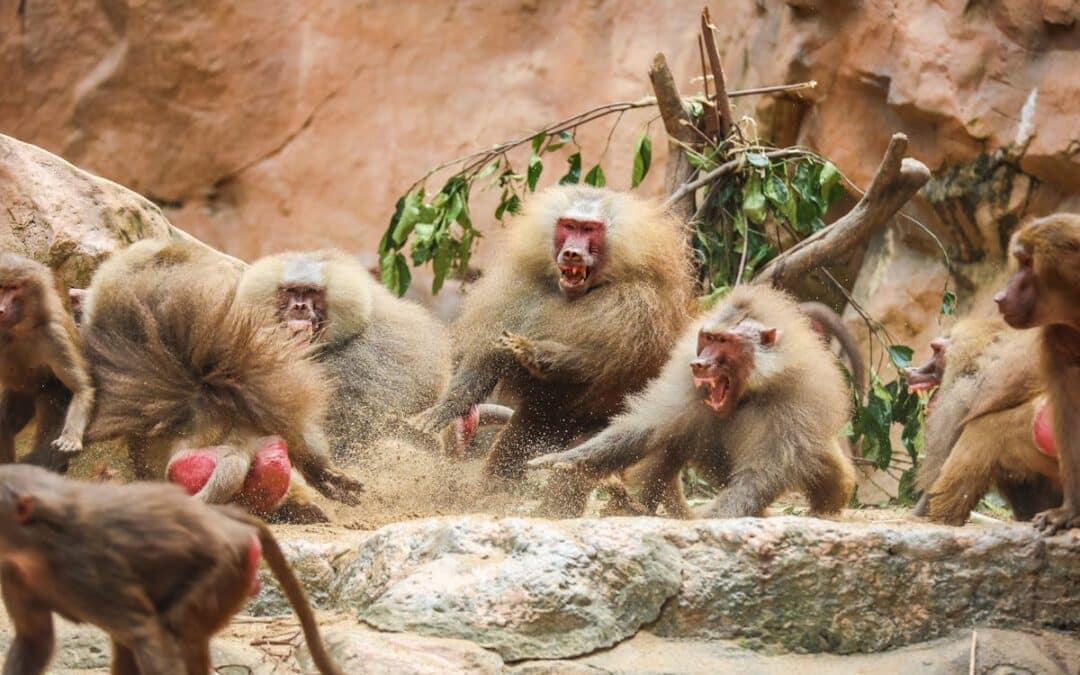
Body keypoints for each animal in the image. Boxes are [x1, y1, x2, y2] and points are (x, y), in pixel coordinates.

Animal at [0, 254, 94, 473]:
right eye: (0, 287)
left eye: (13, 288)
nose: (0, 309)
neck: (17, 331)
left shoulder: (54, 336)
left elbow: (81, 389)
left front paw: (70, 438)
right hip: (20, 395)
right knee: (4, 423)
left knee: (47, 401)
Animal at [0, 464, 343, 675]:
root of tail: (223, 519)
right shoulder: (13, 571)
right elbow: (35, 640)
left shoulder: (88, 569)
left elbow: (148, 635)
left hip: (227, 567)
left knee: (177, 629)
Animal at [409, 185, 696, 514]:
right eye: (569, 226)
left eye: (589, 229)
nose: (572, 252)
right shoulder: (521, 292)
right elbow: (488, 357)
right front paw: (444, 409)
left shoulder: (637, 311)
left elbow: (599, 362)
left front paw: (534, 353)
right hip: (541, 417)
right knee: (514, 446)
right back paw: (489, 497)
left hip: (608, 424)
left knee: (580, 463)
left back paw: (553, 510)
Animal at [529, 284, 856, 520]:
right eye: (708, 338)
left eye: (724, 342)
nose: (699, 364)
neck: (749, 392)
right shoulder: (686, 384)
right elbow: (647, 428)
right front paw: (565, 460)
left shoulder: (795, 404)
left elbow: (760, 476)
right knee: (673, 441)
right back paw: (634, 507)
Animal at [994, 212, 1080, 534]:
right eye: (1019, 260)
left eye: (1027, 262)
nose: (1000, 297)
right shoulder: (1058, 340)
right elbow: (1071, 413)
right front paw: (1070, 512)